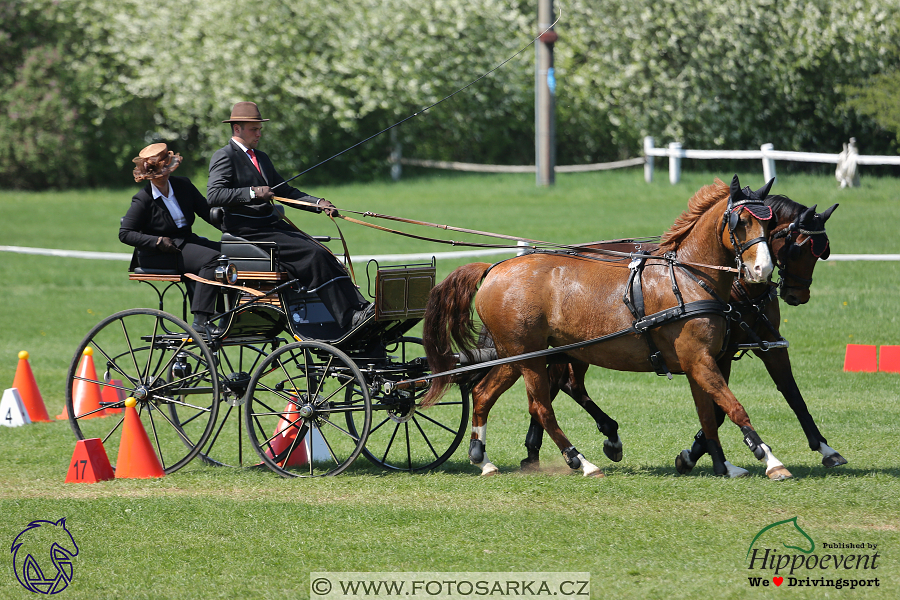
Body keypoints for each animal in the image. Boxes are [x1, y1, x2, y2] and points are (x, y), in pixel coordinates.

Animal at [422, 175, 788, 478]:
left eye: (769, 225)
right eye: (741, 222)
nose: (763, 270)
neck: (688, 278)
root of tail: (493, 269)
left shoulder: (699, 362)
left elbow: (709, 415)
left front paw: (722, 464)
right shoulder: (699, 359)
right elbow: (734, 408)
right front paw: (770, 460)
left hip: (515, 356)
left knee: (484, 395)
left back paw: (482, 458)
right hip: (529, 357)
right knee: (541, 406)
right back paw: (580, 461)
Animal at [516, 195, 840, 476]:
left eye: (822, 250)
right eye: (798, 248)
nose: (798, 295)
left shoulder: (765, 347)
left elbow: (792, 395)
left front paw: (825, 448)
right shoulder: (714, 354)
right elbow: (719, 409)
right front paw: (694, 453)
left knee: (562, 384)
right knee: (558, 385)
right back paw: (551, 447)